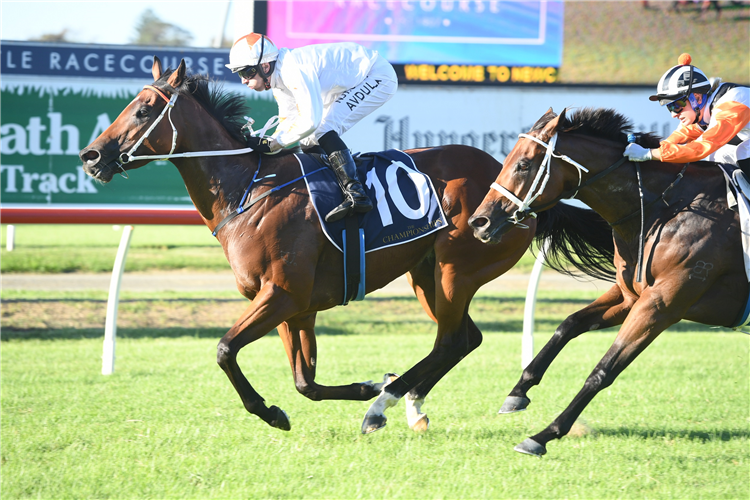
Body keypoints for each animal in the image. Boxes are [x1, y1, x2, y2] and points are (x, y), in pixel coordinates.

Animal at [79, 57, 612, 434]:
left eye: (144, 109)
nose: (91, 156)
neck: (248, 189)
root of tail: (517, 188)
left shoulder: (282, 295)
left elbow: (226, 349)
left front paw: (280, 409)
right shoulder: (294, 307)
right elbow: (305, 383)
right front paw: (352, 388)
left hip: (456, 268)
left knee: (450, 341)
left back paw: (386, 403)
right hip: (425, 272)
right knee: (465, 338)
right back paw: (407, 402)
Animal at [470, 106, 748, 458]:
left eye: (523, 164)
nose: (479, 222)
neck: (665, 208)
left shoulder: (662, 304)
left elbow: (603, 371)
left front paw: (544, 435)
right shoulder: (632, 295)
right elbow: (569, 324)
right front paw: (518, 392)